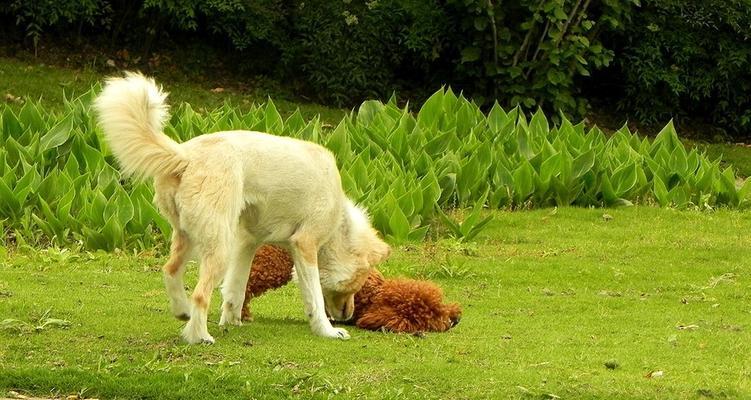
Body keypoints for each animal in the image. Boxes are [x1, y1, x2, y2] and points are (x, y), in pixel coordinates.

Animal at [92, 73, 394, 346]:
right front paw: (327, 331)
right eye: (359, 284)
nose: (348, 316)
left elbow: (235, 289)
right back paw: (199, 336)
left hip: (190, 236)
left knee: (170, 271)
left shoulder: (247, 242)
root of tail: (186, 155)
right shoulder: (304, 245)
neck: (340, 224)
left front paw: (232, 321)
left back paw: (182, 312)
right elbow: (315, 298)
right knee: (200, 294)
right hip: (218, 246)